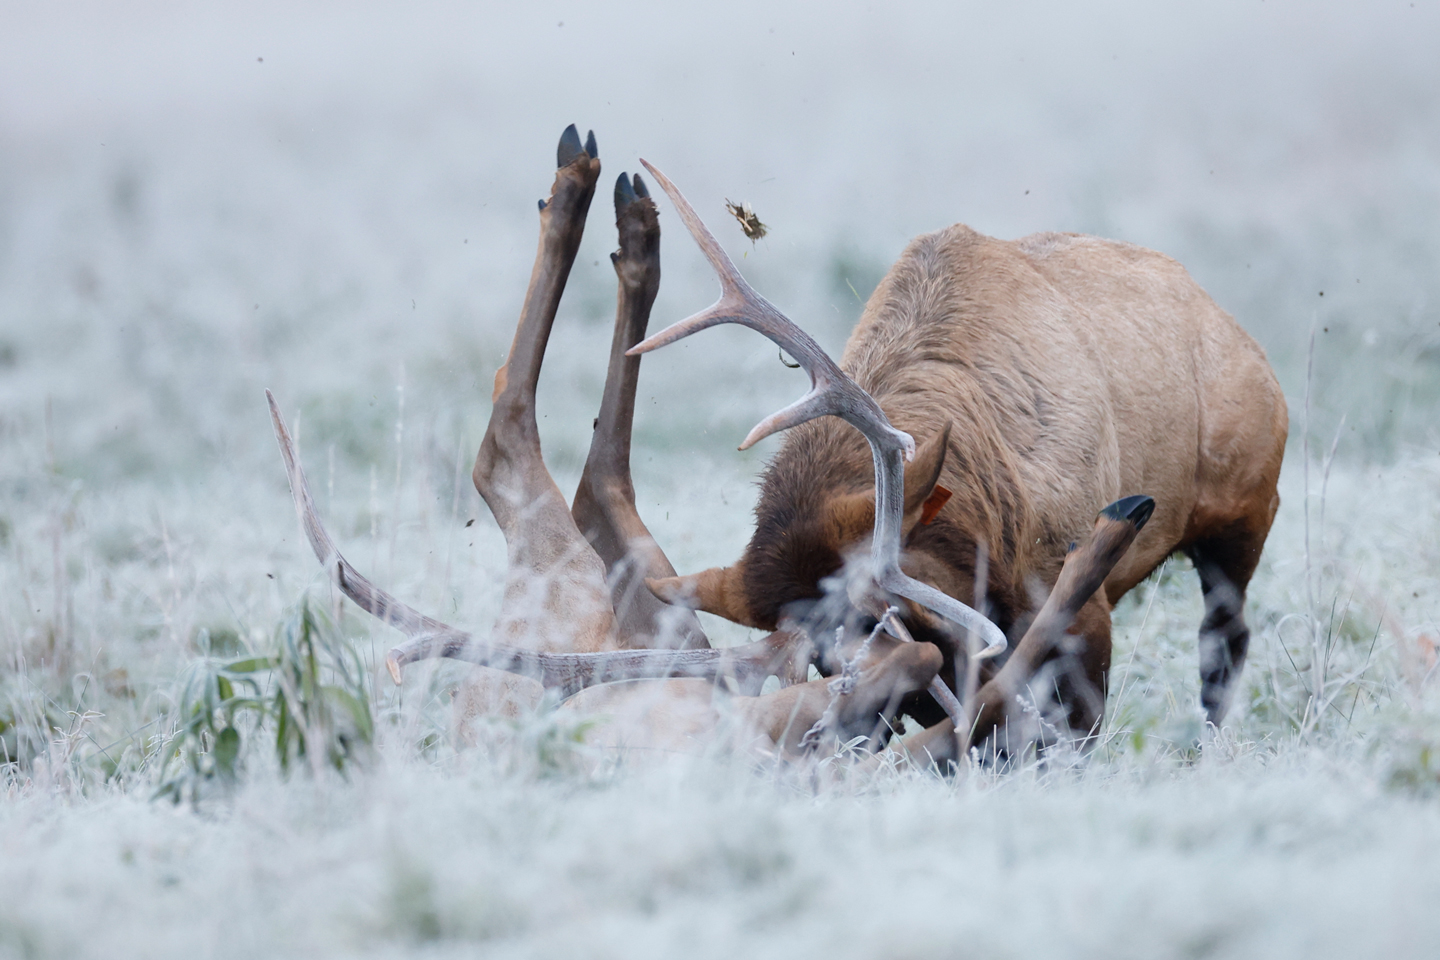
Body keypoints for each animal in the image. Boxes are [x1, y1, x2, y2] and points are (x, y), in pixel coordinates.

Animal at [267, 125, 1187, 764]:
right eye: (874, 624)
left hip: (637, 591)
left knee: (581, 472)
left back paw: (624, 213)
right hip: (566, 559)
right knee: (511, 441)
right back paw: (593, 193)